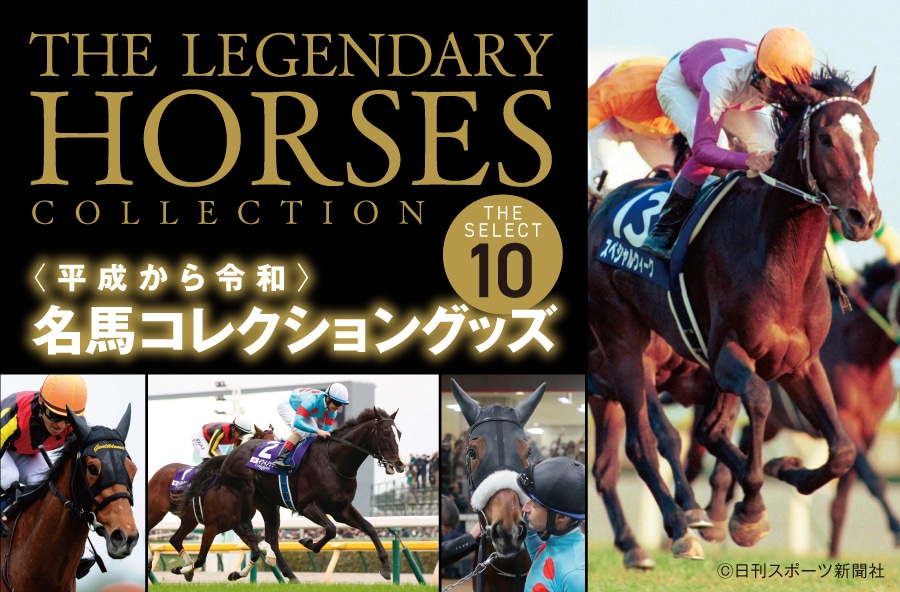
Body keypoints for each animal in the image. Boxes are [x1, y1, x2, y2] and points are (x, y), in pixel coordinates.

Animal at [146, 424, 285, 581]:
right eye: (267, 445)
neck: (233, 491)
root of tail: (160, 472)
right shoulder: (211, 527)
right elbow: (201, 559)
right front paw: (179, 569)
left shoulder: (237, 526)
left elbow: (255, 552)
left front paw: (236, 574)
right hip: (156, 511)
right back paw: (150, 559)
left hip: (189, 519)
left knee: (175, 539)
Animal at [215, 406, 405, 580]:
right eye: (386, 433)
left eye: (399, 433)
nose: (400, 464)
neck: (334, 461)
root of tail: (230, 455)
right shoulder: (306, 506)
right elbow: (331, 529)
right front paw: (309, 543)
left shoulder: (340, 508)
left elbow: (369, 527)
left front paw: (385, 567)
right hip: (245, 490)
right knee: (246, 527)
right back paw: (254, 560)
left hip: (268, 504)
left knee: (272, 539)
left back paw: (286, 574)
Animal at [588, 65, 880, 554]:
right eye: (825, 138)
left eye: (873, 137)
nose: (865, 218)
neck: (781, 258)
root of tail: (602, 205)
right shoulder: (727, 353)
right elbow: (754, 403)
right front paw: (750, 509)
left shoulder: (801, 363)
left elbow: (841, 451)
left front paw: (786, 470)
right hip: (623, 347)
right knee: (644, 445)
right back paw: (680, 525)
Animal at [691, 258, 900, 556]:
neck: (863, 357)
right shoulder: (847, 421)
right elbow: (874, 481)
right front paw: (896, 529)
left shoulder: (869, 431)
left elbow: (841, 500)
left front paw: (834, 553)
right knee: (695, 461)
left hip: (773, 425)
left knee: (743, 438)